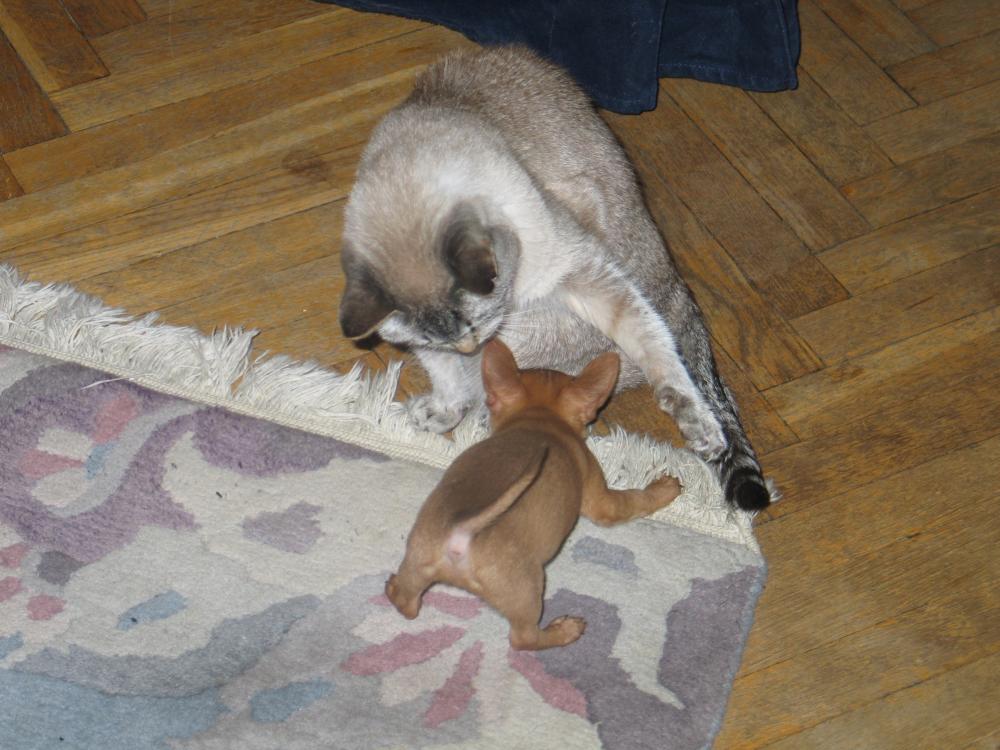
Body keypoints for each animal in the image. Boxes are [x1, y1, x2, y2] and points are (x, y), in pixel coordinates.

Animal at [338, 45, 772, 510]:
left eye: (482, 322)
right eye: (453, 337)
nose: (472, 348)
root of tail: (677, 286)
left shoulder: (583, 269)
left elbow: (660, 356)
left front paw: (698, 425)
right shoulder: (428, 344)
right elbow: (446, 376)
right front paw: (442, 409)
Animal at [385, 340, 682, 650]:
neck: (539, 420)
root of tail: (461, 532)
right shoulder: (601, 497)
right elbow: (634, 499)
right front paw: (663, 489)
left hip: (417, 561)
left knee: (407, 603)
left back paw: (393, 586)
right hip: (528, 590)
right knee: (523, 639)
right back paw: (563, 631)